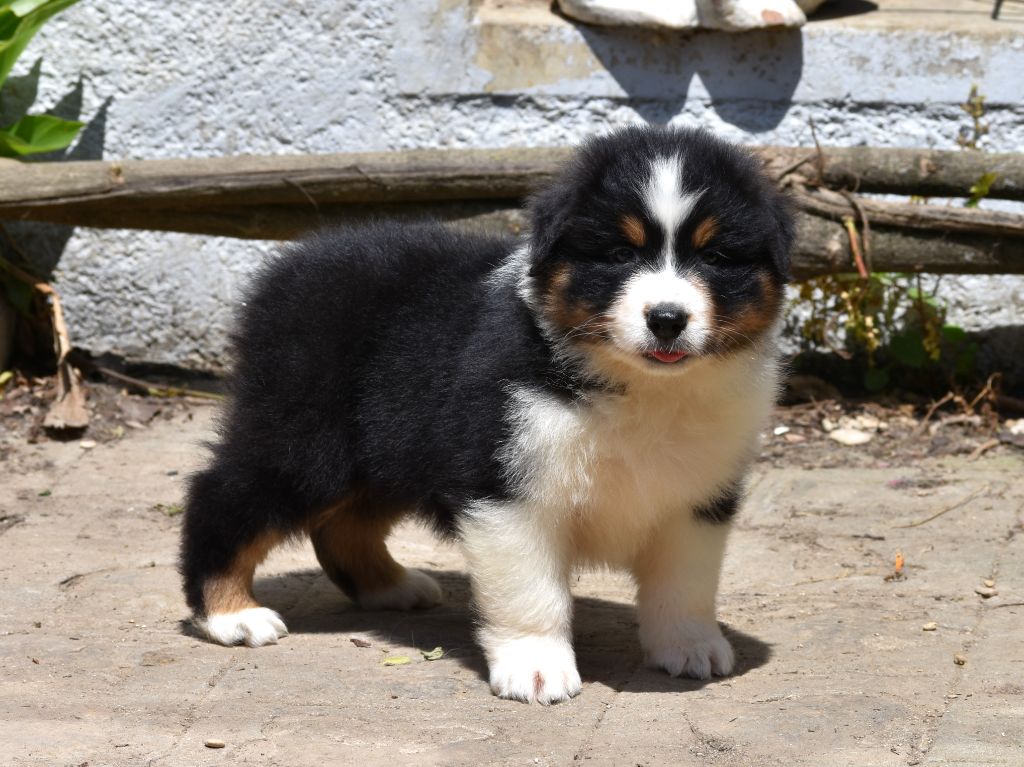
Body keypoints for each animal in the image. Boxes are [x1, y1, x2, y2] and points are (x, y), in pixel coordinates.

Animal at [182, 124, 790, 700]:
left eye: (714, 257)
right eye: (621, 254)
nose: (667, 319)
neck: (641, 387)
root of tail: (293, 262)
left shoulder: (700, 496)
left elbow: (686, 584)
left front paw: (690, 648)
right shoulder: (506, 482)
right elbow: (532, 593)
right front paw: (536, 669)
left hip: (386, 447)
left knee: (344, 524)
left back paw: (391, 587)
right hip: (306, 436)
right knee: (223, 494)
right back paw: (231, 615)